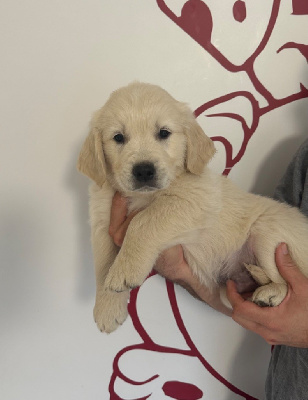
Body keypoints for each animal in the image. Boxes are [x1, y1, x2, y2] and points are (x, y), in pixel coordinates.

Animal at [77, 80, 308, 332]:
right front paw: (107, 309)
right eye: (118, 137)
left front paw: (125, 271)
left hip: (268, 233)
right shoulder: (103, 221)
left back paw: (271, 294)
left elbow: (142, 221)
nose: (144, 171)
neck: (142, 195)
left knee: (284, 281)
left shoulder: (195, 200)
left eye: (164, 133)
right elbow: (102, 265)